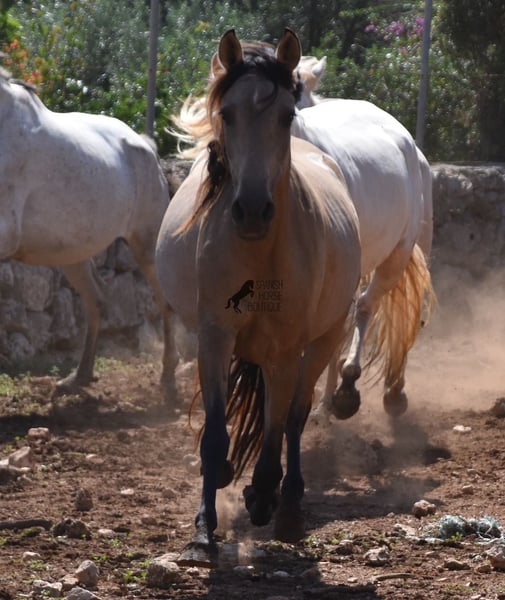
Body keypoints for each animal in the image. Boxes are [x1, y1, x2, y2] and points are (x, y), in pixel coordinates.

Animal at [0, 66, 177, 397]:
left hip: (146, 247)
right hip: (73, 255)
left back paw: (168, 381)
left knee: (165, 303)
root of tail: (146, 146)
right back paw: (79, 376)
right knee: (97, 300)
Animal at [155, 28, 362, 565]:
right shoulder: (214, 337)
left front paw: (263, 496)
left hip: (325, 338)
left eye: (286, 115)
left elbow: (276, 430)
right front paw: (203, 531)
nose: (251, 211)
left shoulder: (287, 348)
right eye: (226, 114)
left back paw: (286, 507)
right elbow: (213, 437)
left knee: (294, 417)